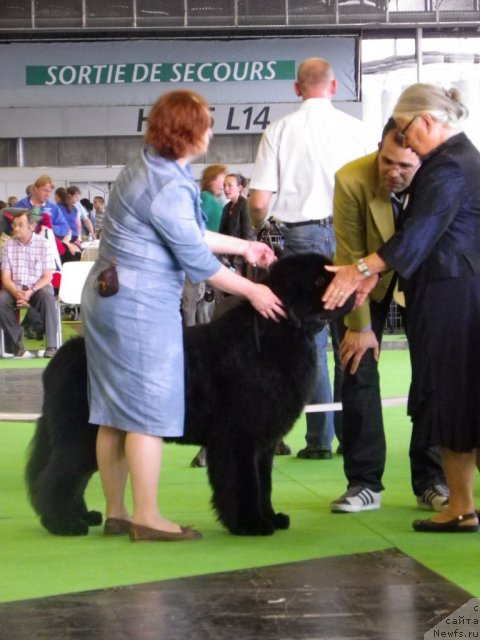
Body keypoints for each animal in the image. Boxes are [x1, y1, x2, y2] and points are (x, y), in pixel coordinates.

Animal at [26, 252, 354, 536]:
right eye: (318, 279)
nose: (349, 284)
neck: (275, 333)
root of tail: (61, 358)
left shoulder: (264, 441)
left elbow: (264, 484)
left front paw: (271, 517)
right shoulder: (239, 439)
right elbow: (244, 483)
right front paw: (250, 524)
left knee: (73, 478)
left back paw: (84, 516)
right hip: (79, 435)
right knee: (57, 477)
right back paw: (63, 524)